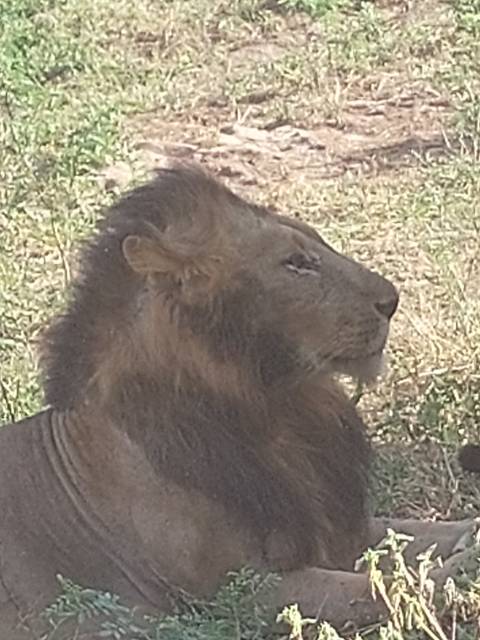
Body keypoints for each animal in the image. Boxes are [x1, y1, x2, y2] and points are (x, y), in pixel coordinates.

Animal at [0, 162, 477, 639]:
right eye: (296, 263)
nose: (391, 300)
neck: (278, 408)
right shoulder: (238, 591)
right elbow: (384, 587)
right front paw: (460, 571)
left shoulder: (341, 530)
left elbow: (424, 534)